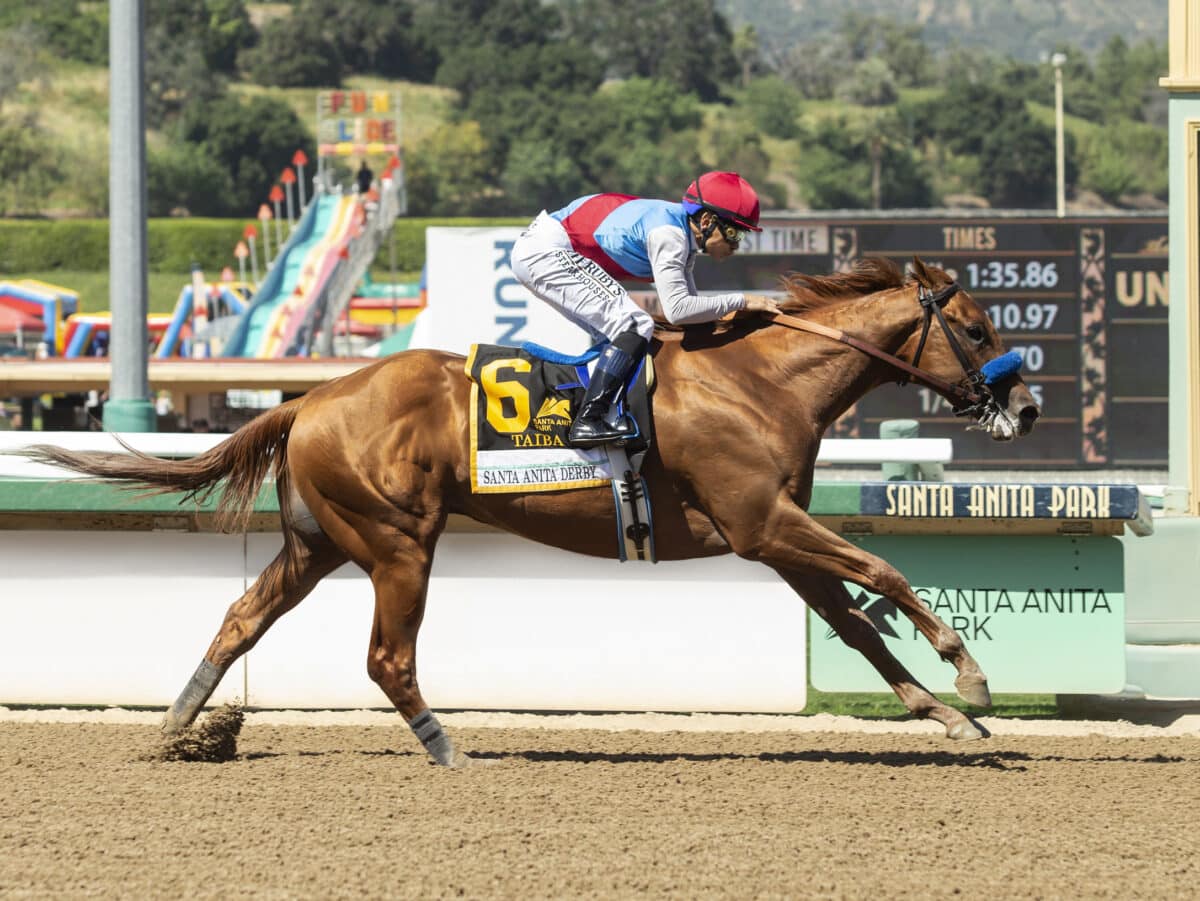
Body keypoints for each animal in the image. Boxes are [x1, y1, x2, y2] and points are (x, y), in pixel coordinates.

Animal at [23, 256, 1036, 763]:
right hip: (399, 540)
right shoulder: (761, 522)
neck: (760, 380)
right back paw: (448, 749)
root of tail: (307, 400)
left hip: (318, 542)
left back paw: (176, 727)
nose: (1024, 408)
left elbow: (856, 621)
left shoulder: (772, 534)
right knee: (387, 657)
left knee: (241, 617)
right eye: (975, 326)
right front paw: (972, 676)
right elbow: (884, 569)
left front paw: (945, 715)